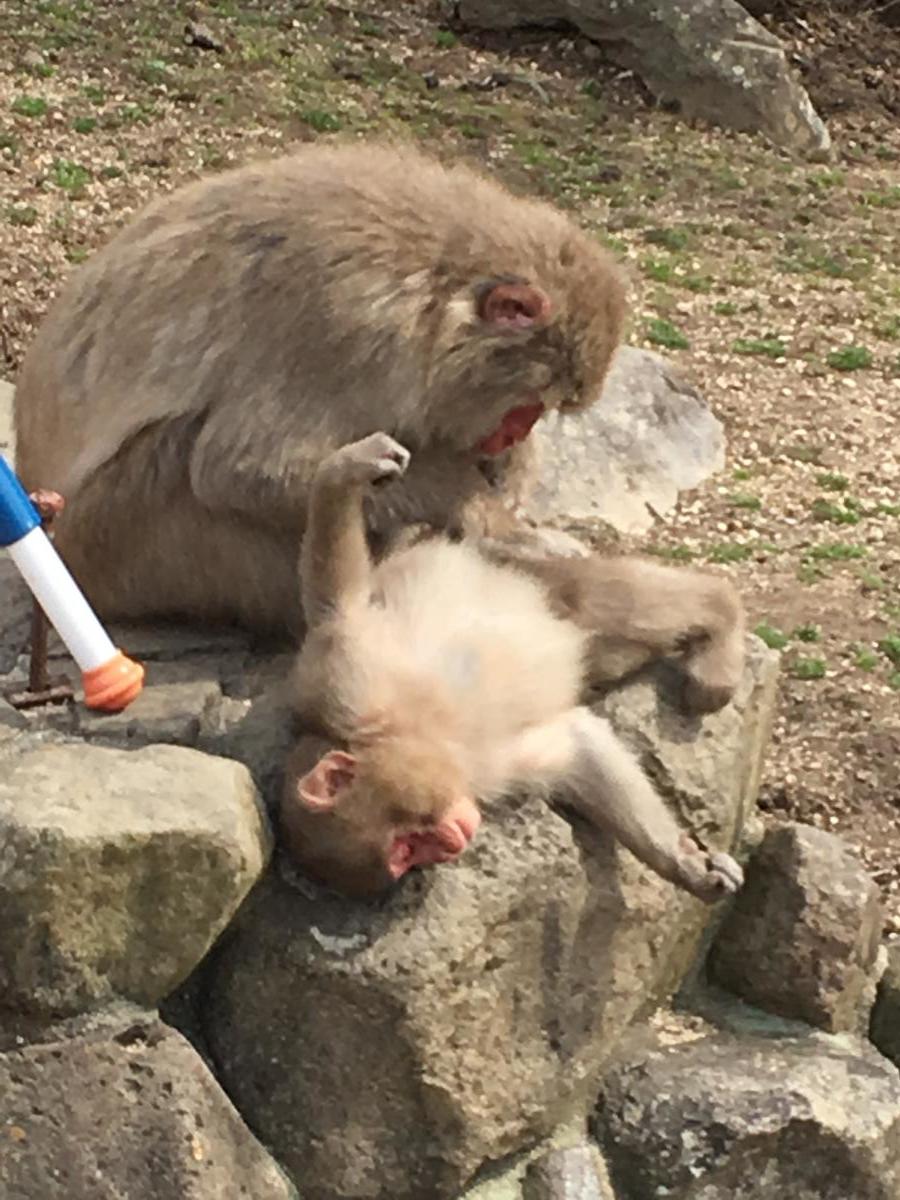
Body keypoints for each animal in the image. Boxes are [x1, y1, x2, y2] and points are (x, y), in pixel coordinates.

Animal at [13, 140, 626, 636]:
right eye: (528, 405)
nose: (514, 434)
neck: (433, 282)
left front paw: (511, 476)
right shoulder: (338, 326)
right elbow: (239, 468)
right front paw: (482, 512)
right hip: (128, 547)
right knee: (182, 449)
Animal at [279, 431, 746, 902]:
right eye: (408, 854)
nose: (455, 841)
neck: (412, 733)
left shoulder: (344, 679)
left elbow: (338, 599)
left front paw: (347, 469)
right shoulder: (486, 773)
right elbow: (578, 749)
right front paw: (686, 866)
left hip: (520, 570)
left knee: (619, 603)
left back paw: (719, 624)